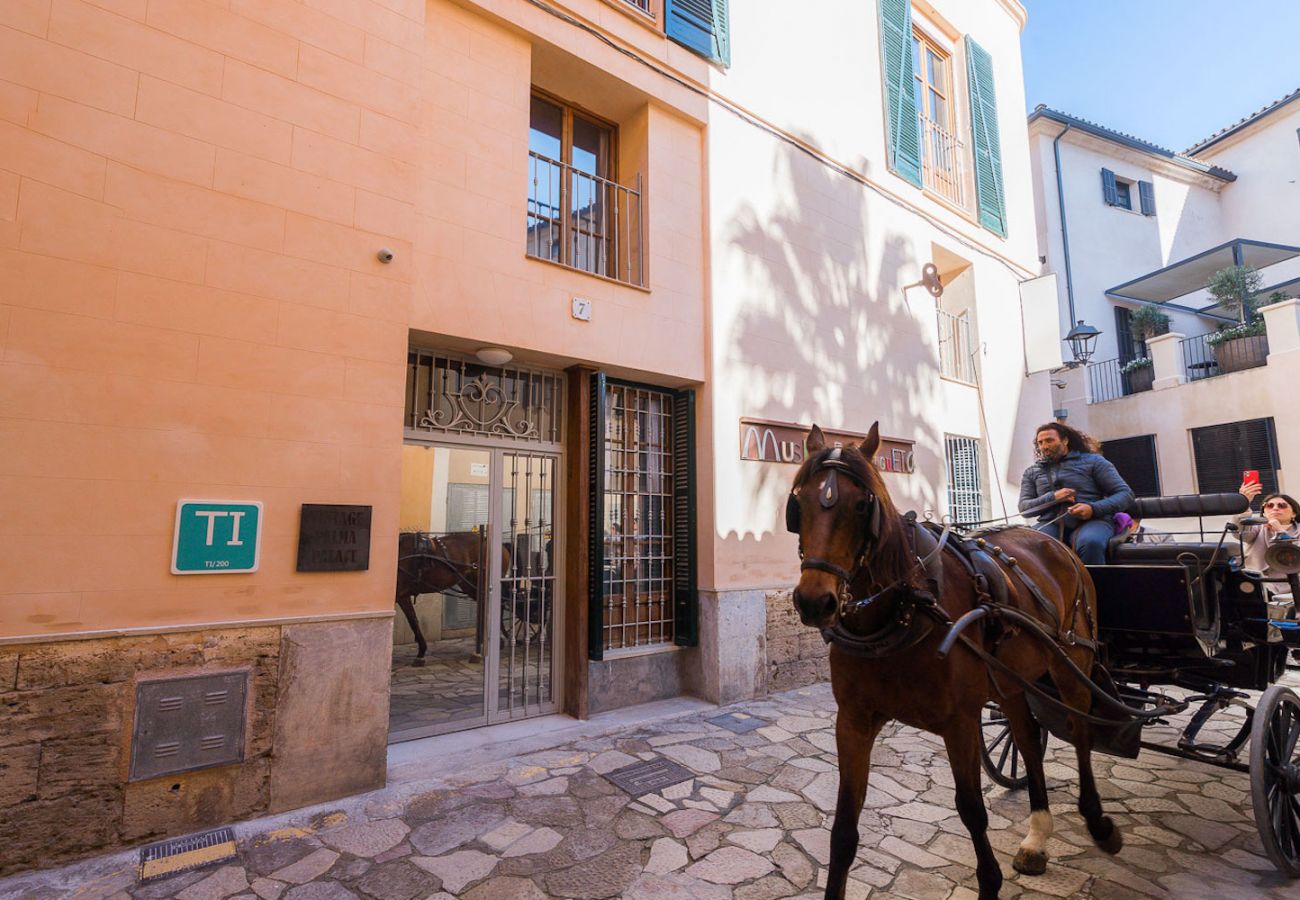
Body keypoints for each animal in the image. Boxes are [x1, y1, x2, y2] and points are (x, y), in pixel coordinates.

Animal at [785, 423, 1123, 900]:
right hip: (1012, 681)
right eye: (799, 503)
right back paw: (1037, 835)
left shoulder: (959, 721)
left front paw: (990, 881)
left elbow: (971, 809)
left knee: (1079, 730)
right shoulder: (852, 720)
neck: (904, 607)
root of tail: (1054, 539)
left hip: (1072, 660)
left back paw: (1097, 821)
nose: (815, 601)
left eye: (862, 505)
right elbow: (844, 830)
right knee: (1026, 736)